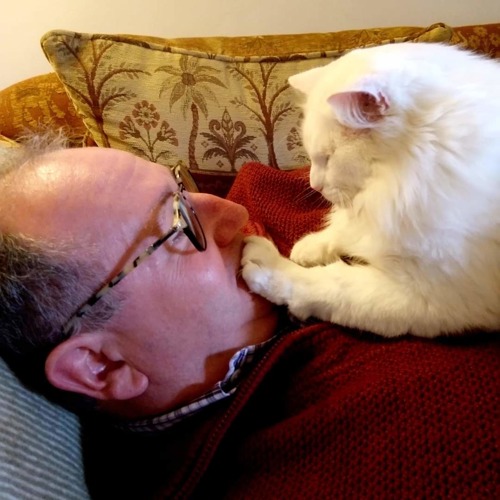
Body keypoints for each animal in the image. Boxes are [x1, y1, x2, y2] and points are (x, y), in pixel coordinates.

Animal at [241, 43, 500, 338]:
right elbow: (343, 231)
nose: (314, 184)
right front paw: (308, 247)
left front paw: (272, 266)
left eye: (327, 158)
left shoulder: (432, 294)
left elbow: (328, 283)